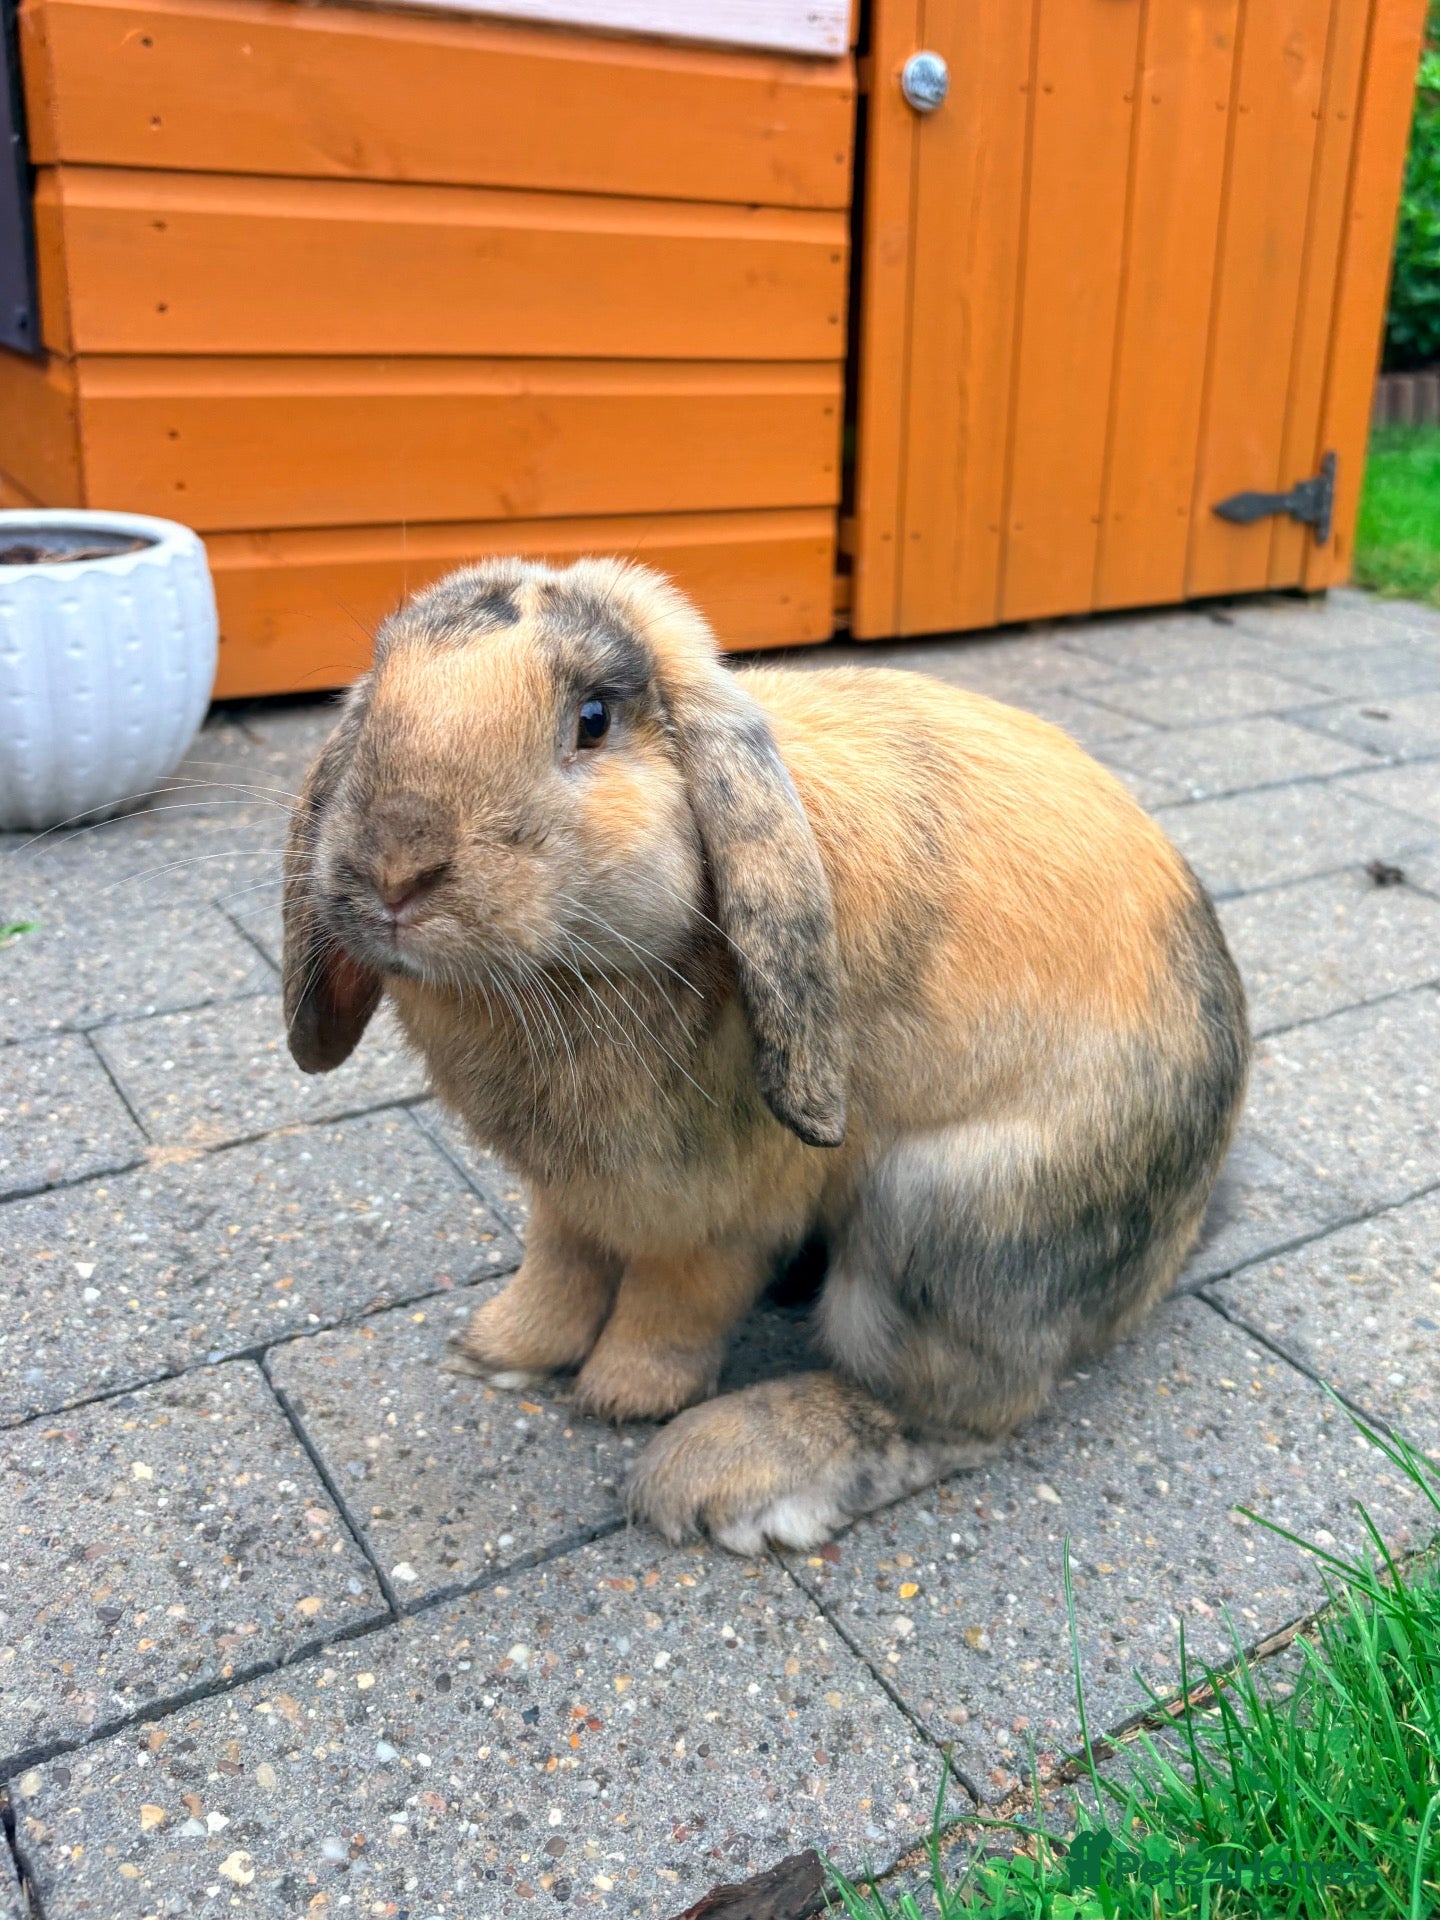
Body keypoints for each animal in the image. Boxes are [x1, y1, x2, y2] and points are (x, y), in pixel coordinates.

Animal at [282, 556, 1249, 1555]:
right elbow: (559, 1262)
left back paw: (721, 1471)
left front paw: (621, 1397)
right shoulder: (569, 1197)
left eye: (592, 718)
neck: (561, 977)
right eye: (376, 691)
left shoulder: (718, 1210)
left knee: (961, 1413)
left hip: (949, 1213)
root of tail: (1172, 1248)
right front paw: (499, 1352)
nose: (396, 869)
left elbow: (675, 1302)